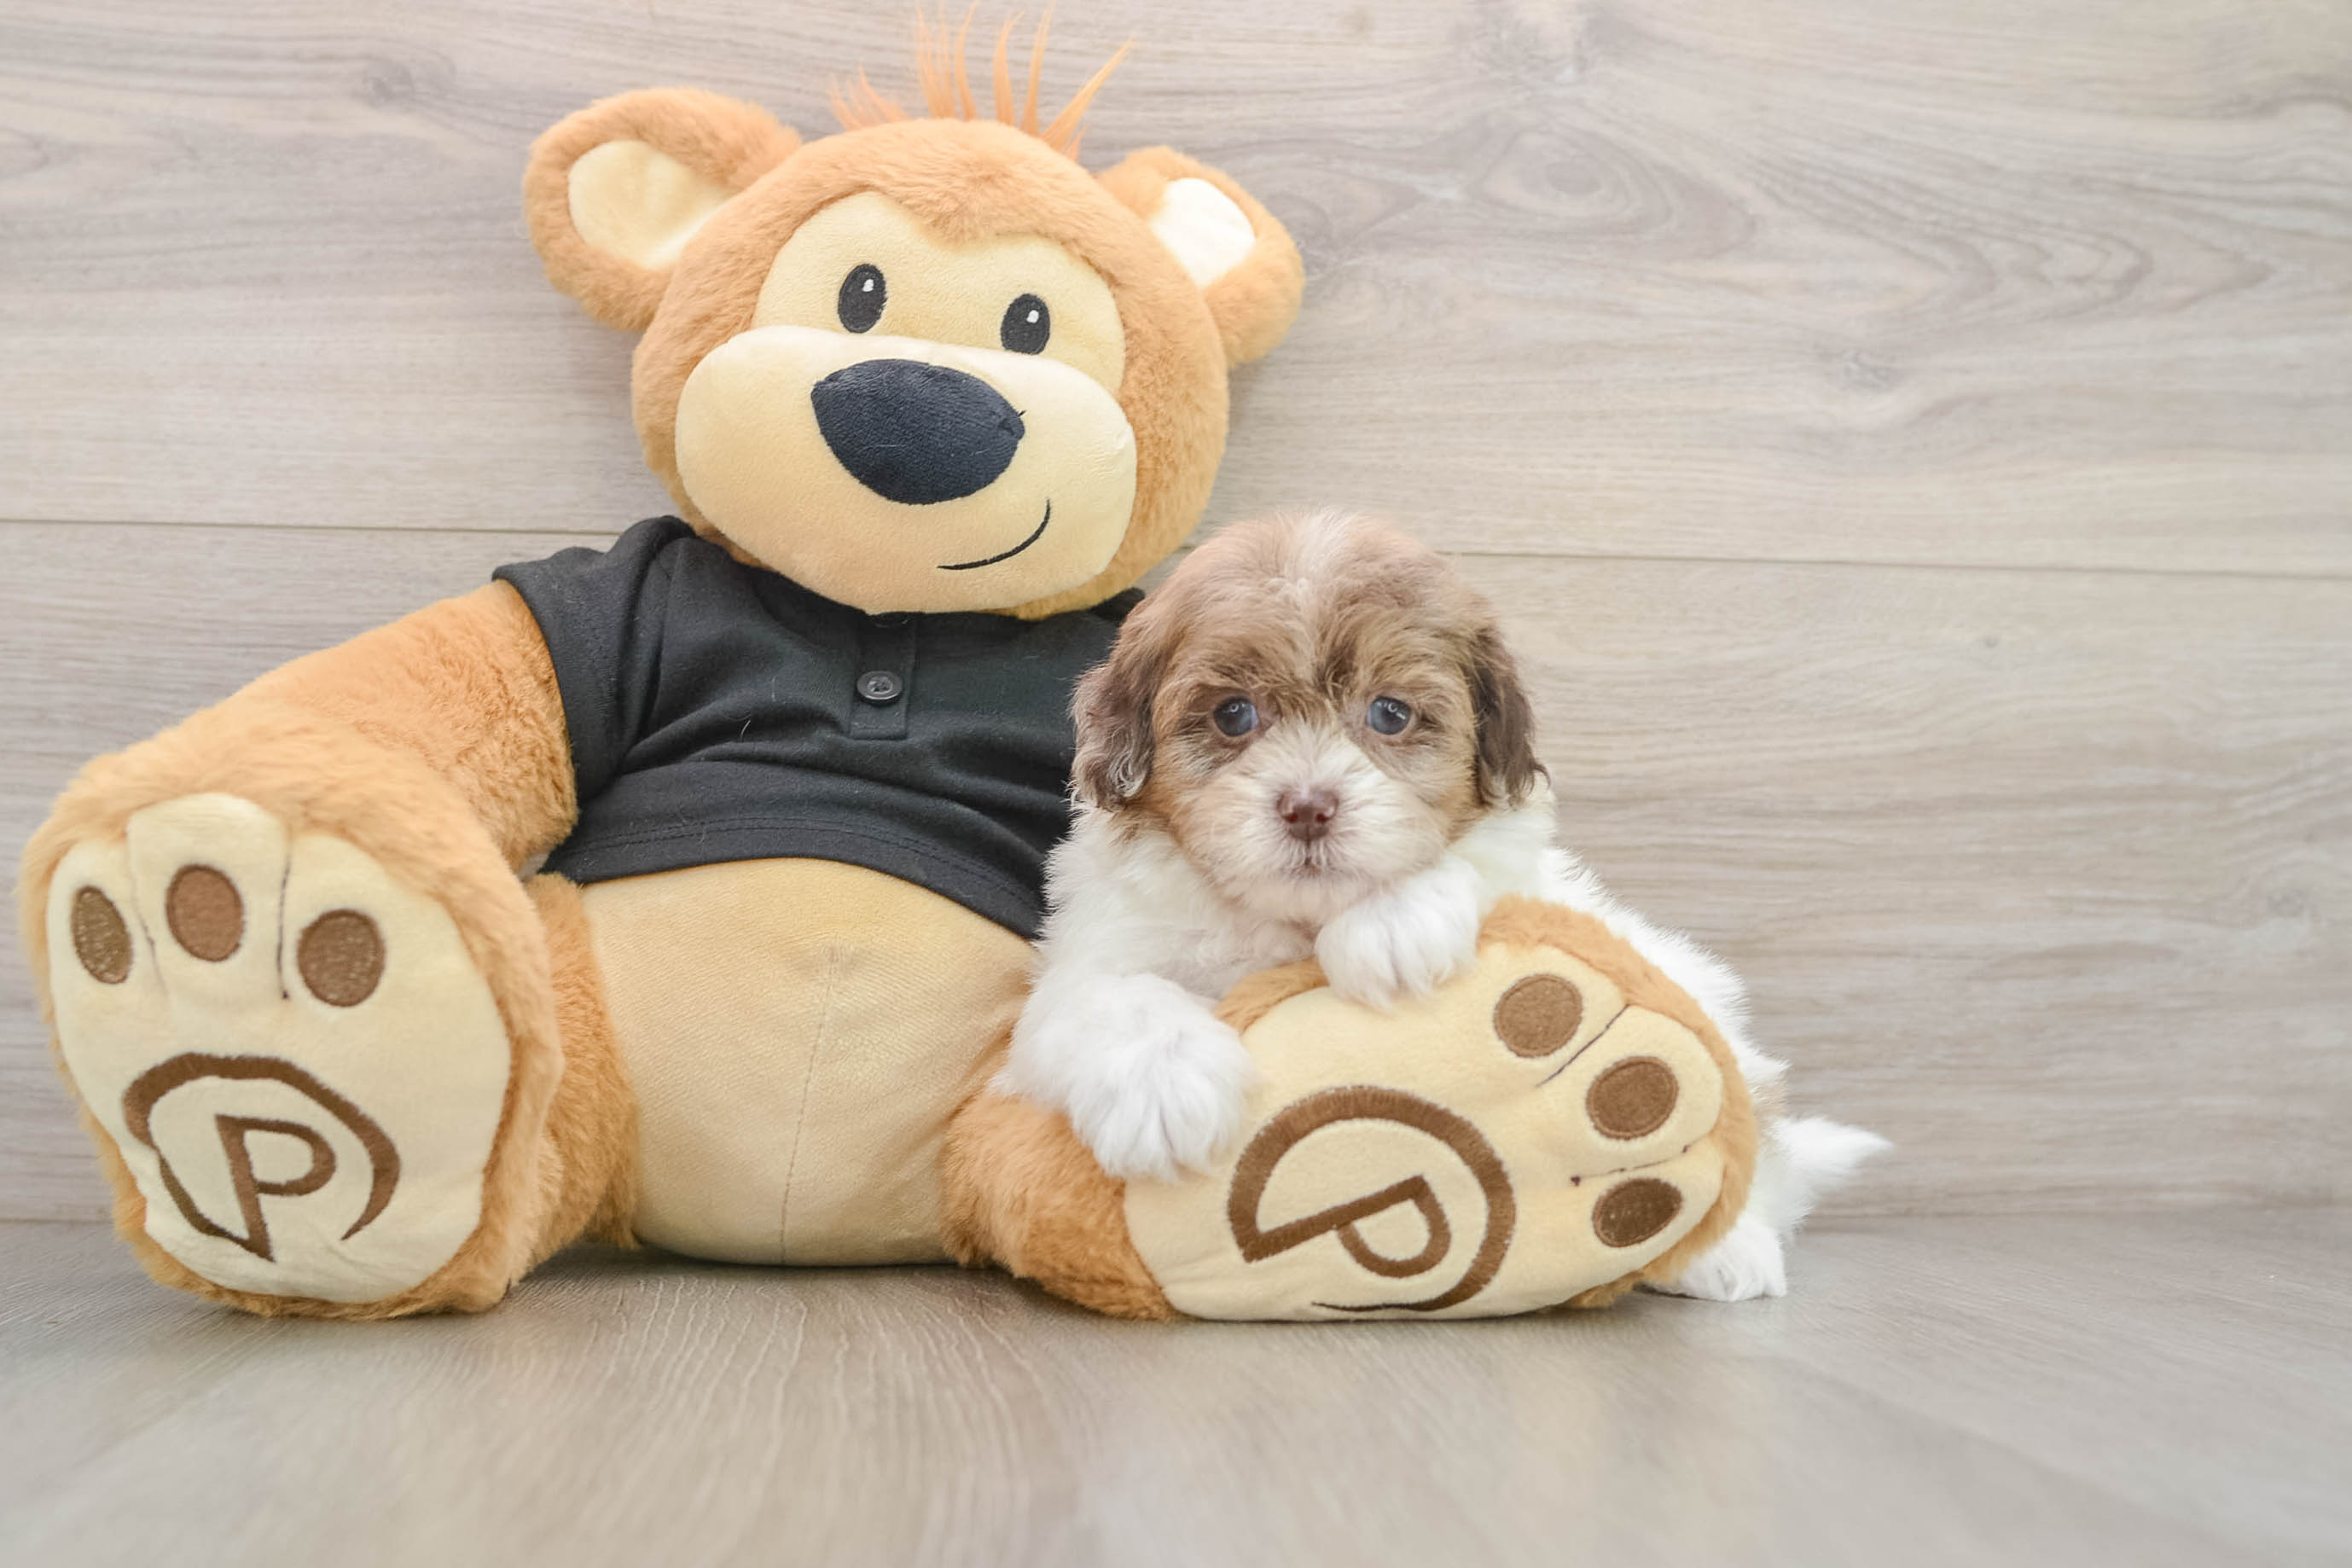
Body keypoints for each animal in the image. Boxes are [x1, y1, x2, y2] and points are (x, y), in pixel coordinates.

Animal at [999, 507, 1885, 1300]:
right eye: (1232, 715)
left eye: (1389, 714)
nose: (1308, 806)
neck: (1292, 923)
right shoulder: (1088, 956)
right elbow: (1108, 997)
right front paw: (1166, 1090)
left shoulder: (1526, 873)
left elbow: (1468, 863)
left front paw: (1391, 926)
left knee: (1749, 1132)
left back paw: (1724, 1252)